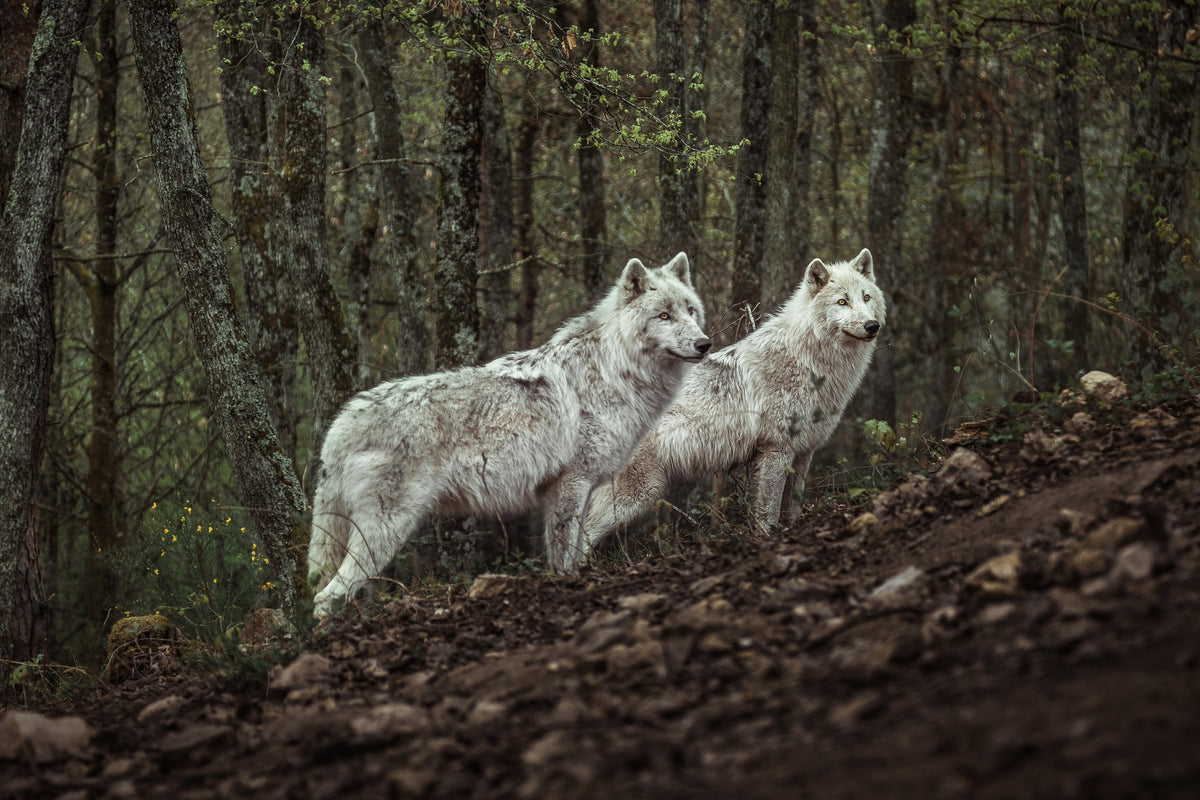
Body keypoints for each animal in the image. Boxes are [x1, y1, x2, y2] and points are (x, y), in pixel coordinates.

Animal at [308, 253, 710, 616]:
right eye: (664, 315)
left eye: (690, 311)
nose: (704, 344)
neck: (615, 370)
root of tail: (341, 424)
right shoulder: (570, 485)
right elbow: (563, 555)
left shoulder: (581, 489)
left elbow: (577, 551)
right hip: (385, 530)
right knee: (326, 596)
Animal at [584, 248, 884, 546]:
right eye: (842, 301)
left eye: (866, 297)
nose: (872, 325)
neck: (808, 361)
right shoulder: (776, 449)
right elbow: (768, 511)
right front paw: (767, 538)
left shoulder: (804, 452)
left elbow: (794, 506)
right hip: (637, 494)